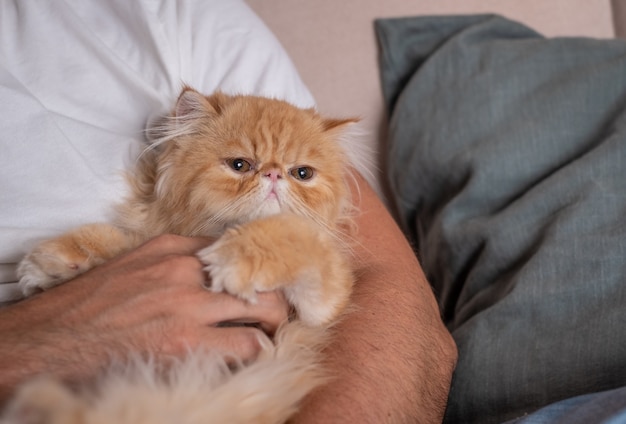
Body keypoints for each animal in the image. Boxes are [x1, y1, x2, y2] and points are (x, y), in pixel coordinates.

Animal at [6, 88, 356, 422]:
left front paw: (236, 257)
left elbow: (293, 230)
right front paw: (54, 262)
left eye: (302, 173)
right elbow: (124, 242)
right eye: (239, 165)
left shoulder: (317, 308)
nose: (273, 174)